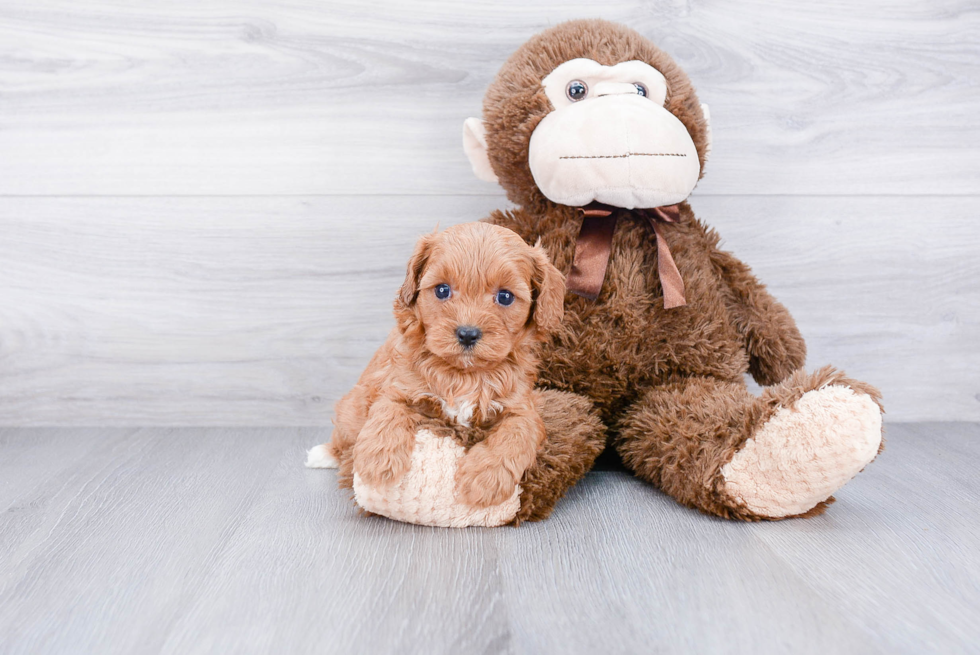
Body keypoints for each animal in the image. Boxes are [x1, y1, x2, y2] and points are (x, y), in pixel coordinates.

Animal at [306, 223, 568, 510]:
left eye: (505, 296)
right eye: (442, 290)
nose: (467, 334)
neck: (464, 374)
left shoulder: (522, 408)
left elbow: (516, 434)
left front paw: (485, 480)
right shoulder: (397, 387)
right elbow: (388, 411)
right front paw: (378, 461)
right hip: (351, 408)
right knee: (344, 434)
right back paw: (324, 454)